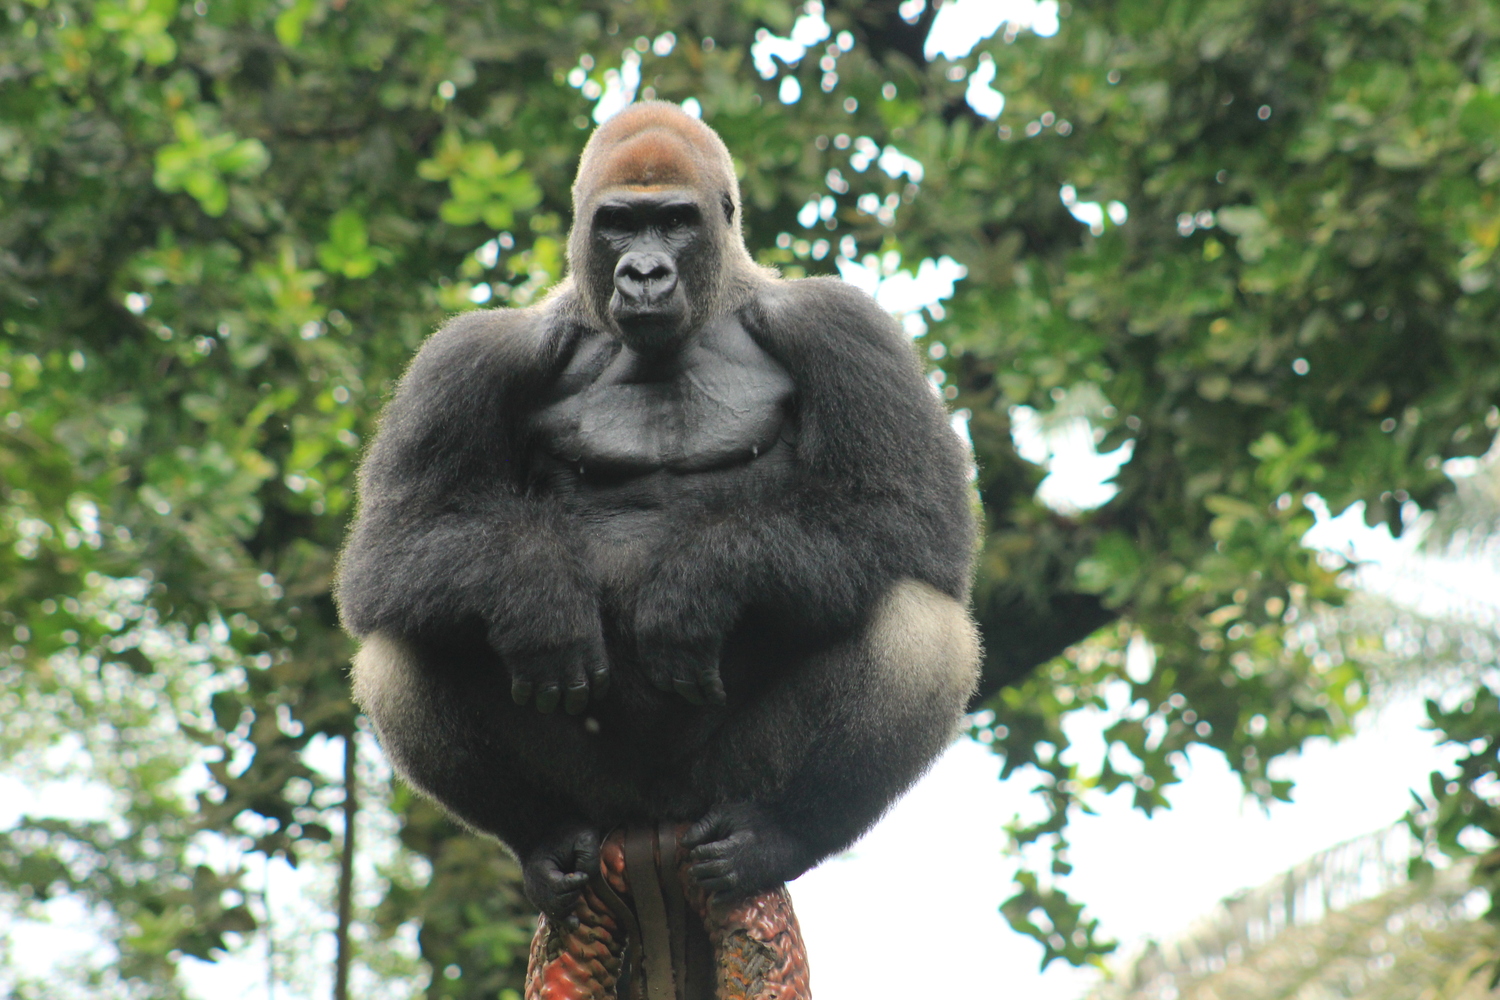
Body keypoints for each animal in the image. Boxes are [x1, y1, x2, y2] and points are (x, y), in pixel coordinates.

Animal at [334, 101, 978, 923]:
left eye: (674, 222)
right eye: (618, 224)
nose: (644, 273)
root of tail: (649, 820)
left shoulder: (841, 323)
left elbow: (908, 511)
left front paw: (700, 587)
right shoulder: (470, 354)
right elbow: (396, 544)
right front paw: (539, 596)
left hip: (714, 789)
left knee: (916, 614)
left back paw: (777, 834)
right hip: (600, 794)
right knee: (404, 640)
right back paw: (543, 839)